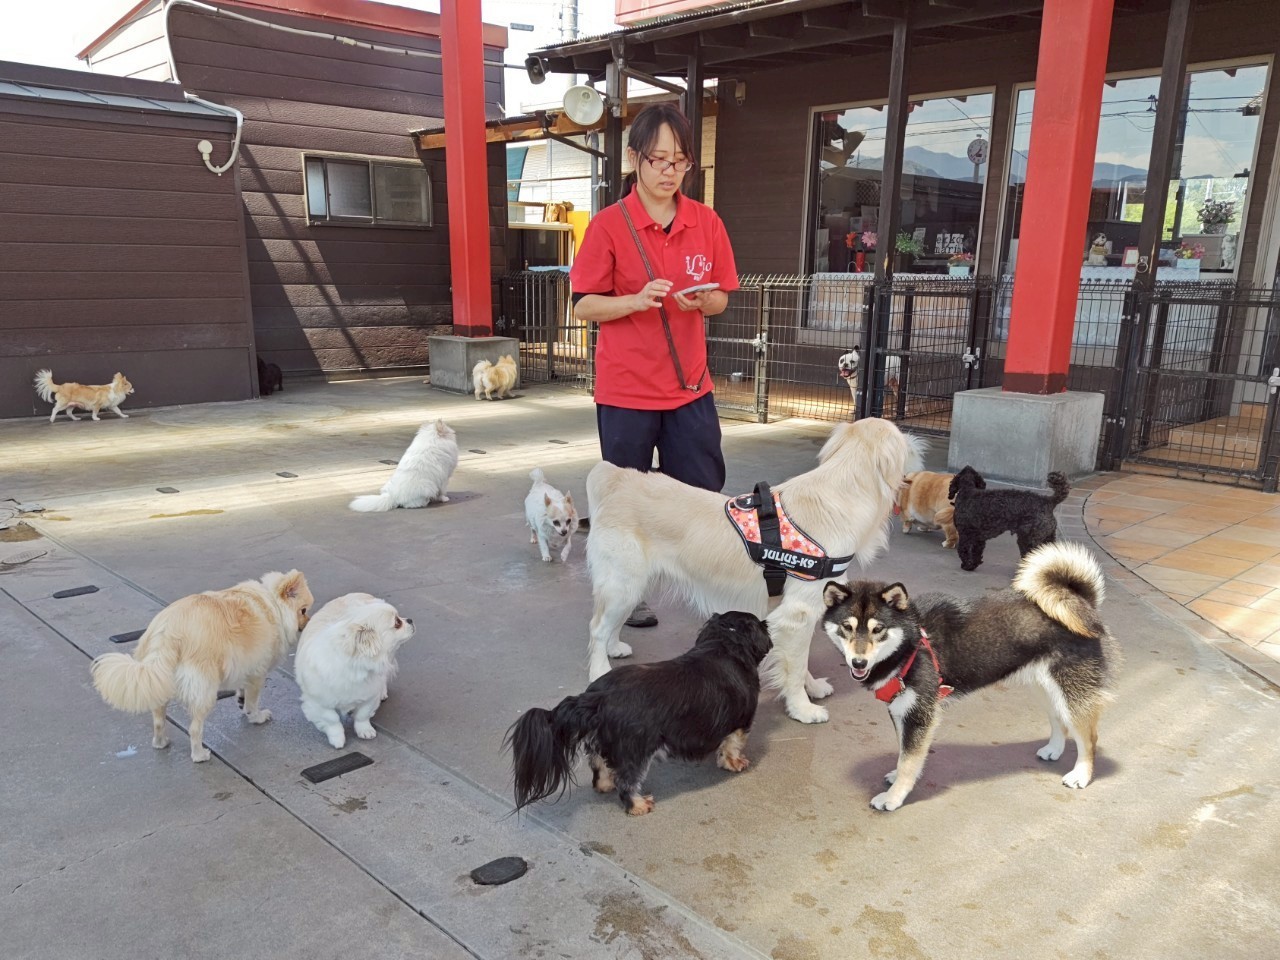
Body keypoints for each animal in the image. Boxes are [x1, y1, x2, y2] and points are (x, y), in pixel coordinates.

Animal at [90, 570, 313, 763]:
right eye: (304, 611)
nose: (308, 622)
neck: (272, 604)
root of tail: (166, 633)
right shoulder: (258, 672)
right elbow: (253, 702)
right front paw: (256, 716)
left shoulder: (245, 667)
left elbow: (243, 689)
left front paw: (240, 699)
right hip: (205, 690)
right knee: (195, 729)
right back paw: (199, 755)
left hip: (160, 681)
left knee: (159, 720)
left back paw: (161, 743)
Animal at [295, 592, 415, 749]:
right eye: (397, 622)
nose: (410, 620)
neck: (355, 667)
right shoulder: (318, 702)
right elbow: (332, 720)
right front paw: (337, 739)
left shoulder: (370, 695)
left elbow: (362, 715)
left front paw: (365, 730)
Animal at [507, 611, 772, 816]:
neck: (726, 642)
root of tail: (596, 697)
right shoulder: (740, 723)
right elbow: (732, 746)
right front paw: (734, 763)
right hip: (637, 749)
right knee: (626, 781)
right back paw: (638, 805)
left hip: (604, 744)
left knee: (600, 767)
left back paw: (605, 785)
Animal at [585, 417, 923, 724]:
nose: (918, 444)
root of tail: (615, 477)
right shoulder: (798, 614)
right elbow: (795, 666)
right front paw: (802, 709)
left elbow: (799, 661)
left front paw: (812, 688)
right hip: (623, 582)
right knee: (597, 628)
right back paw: (599, 669)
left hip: (631, 585)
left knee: (611, 623)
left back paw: (615, 648)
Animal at [821, 541, 1119, 811]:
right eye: (847, 627)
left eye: (878, 629)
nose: (858, 662)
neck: (910, 644)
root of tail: (1083, 602)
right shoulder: (901, 710)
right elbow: (904, 754)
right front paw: (896, 778)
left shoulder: (919, 714)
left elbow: (908, 760)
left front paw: (894, 797)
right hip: (1046, 688)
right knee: (1060, 720)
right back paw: (1054, 750)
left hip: (1070, 690)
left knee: (1088, 738)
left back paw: (1081, 774)